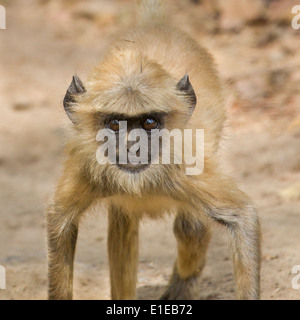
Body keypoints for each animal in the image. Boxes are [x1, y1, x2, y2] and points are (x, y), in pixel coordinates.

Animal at [47, 0, 260, 300]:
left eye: (149, 123)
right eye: (115, 123)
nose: (132, 145)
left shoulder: (185, 164)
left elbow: (243, 218)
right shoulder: (84, 164)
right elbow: (61, 221)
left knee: (190, 228)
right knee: (123, 226)